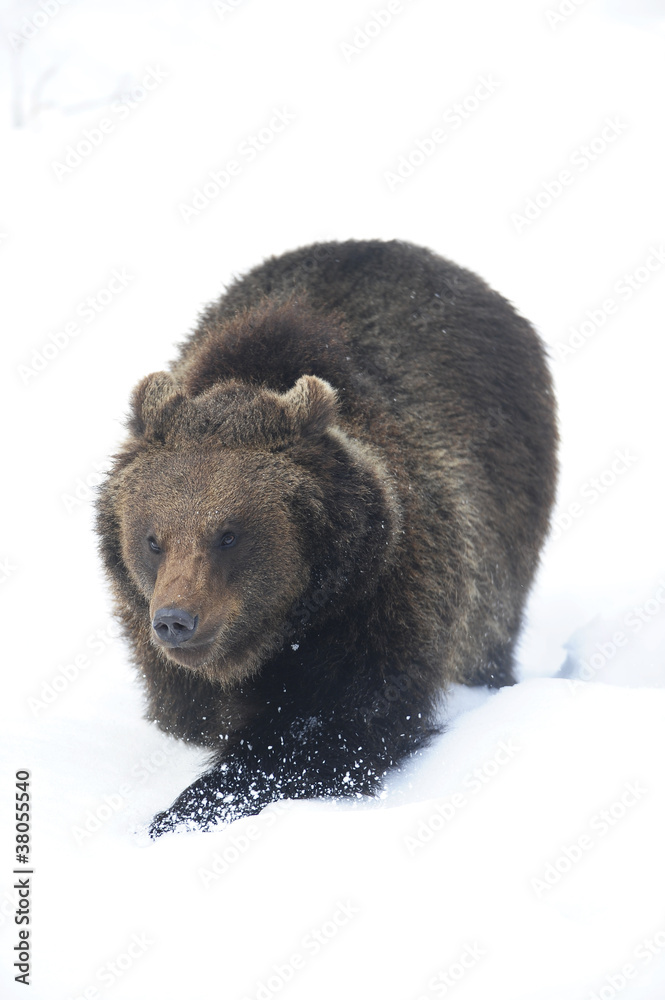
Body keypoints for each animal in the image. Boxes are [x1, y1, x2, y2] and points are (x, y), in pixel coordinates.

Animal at [95, 239, 558, 837]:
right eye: (153, 539)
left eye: (229, 534)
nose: (176, 619)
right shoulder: (157, 649)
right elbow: (188, 714)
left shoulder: (379, 599)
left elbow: (331, 730)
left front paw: (187, 809)